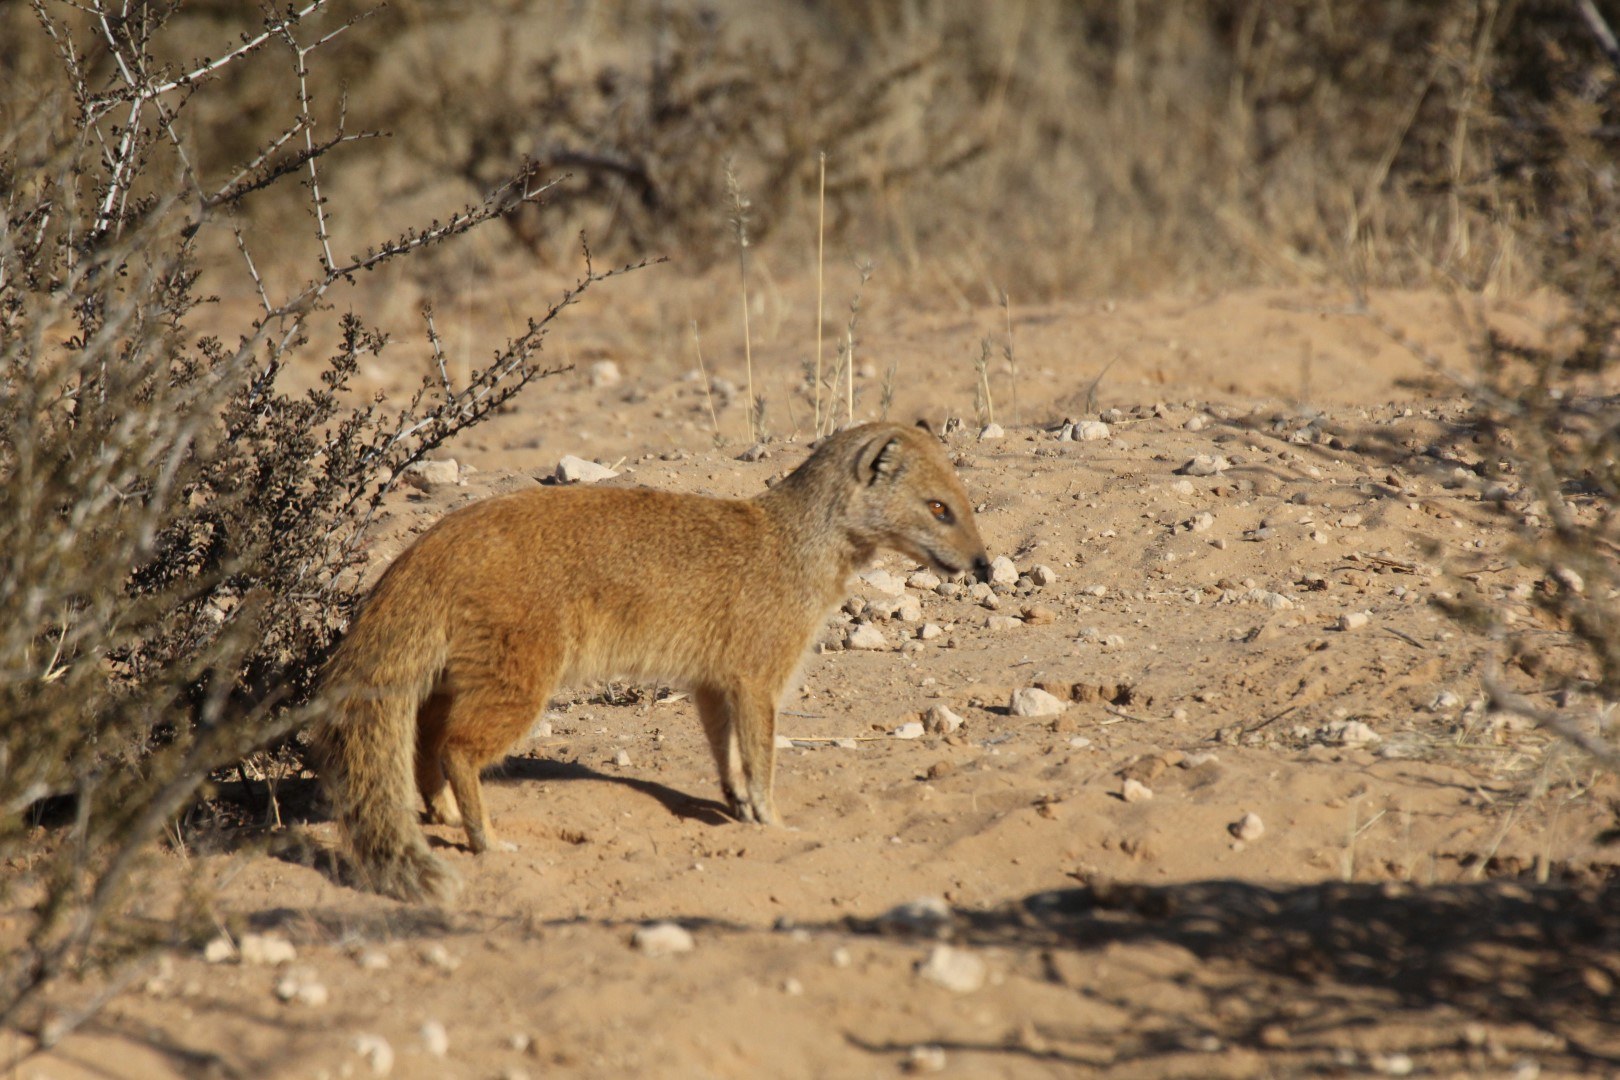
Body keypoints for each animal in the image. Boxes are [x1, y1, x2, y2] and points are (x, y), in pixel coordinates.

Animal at [314, 421, 991, 903]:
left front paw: (737, 806)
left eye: (965, 501)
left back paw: (445, 814)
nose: (984, 565)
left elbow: (725, 749)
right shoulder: (759, 670)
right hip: (522, 669)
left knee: (426, 737)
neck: (798, 548)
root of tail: (429, 547)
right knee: (456, 745)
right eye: (938, 508)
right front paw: (773, 820)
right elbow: (762, 753)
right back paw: (485, 837)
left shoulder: (712, 679)